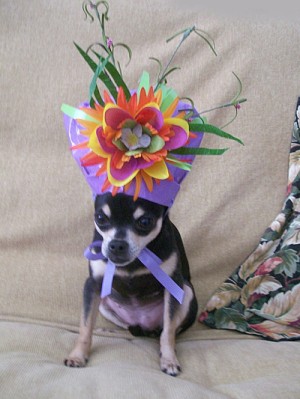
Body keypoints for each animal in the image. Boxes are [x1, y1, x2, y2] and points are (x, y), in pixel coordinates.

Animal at [64, 192, 198, 376]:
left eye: (145, 222)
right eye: (100, 218)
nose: (117, 244)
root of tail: (146, 327)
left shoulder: (172, 285)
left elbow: (169, 330)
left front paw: (169, 359)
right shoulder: (93, 285)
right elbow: (85, 325)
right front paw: (77, 356)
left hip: (186, 290)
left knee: (168, 330)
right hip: (103, 303)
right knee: (127, 326)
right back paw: (107, 330)